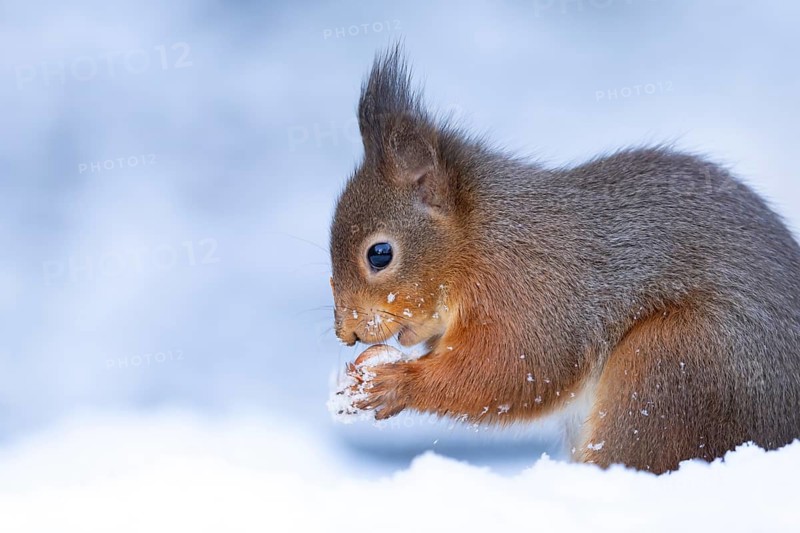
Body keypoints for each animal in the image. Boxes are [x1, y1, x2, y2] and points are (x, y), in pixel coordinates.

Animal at [328, 45, 800, 473]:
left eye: (380, 254)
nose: (347, 333)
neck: (477, 241)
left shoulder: (532, 289)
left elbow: (511, 368)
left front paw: (397, 383)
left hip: (672, 367)